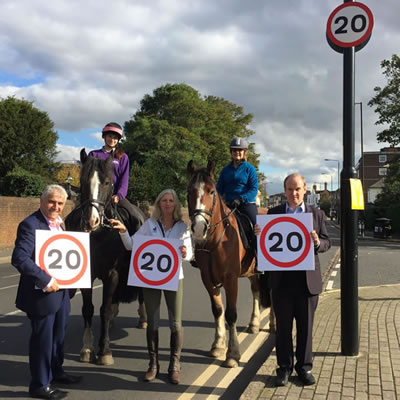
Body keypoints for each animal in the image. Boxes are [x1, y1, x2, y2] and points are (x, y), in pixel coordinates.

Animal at [65, 148, 145, 364]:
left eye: (108, 182)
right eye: (83, 180)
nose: (91, 220)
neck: (99, 233)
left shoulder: (112, 273)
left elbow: (105, 310)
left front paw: (105, 350)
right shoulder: (89, 273)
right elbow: (88, 309)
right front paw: (87, 347)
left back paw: (143, 319)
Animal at [187, 161, 268, 368]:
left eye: (211, 191)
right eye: (189, 191)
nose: (199, 229)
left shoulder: (231, 279)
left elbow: (231, 314)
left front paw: (232, 354)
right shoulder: (207, 279)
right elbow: (217, 310)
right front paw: (217, 345)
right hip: (251, 272)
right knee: (256, 291)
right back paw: (254, 323)